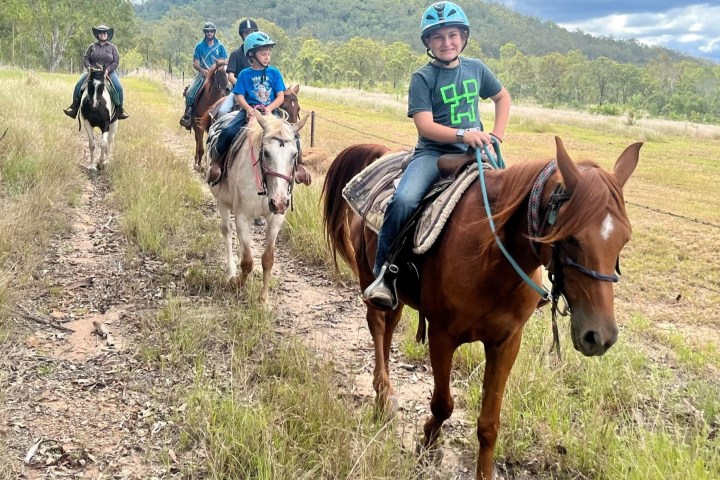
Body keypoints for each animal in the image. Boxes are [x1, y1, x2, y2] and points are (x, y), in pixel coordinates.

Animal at [208, 111, 308, 304]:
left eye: (294, 155)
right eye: (266, 153)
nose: (279, 202)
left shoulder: (276, 218)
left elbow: (267, 259)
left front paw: (263, 299)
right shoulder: (242, 215)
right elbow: (247, 262)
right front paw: (237, 283)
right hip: (222, 203)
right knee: (227, 231)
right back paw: (231, 271)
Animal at [322, 138, 641, 479]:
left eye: (624, 239)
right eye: (570, 238)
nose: (600, 336)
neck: (489, 258)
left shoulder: (506, 343)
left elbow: (489, 424)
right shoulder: (442, 336)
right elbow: (443, 403)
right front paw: (427, 444)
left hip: (399, 295)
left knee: (389, 327)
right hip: (369, 276)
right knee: (377, 324)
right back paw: (382, 395)